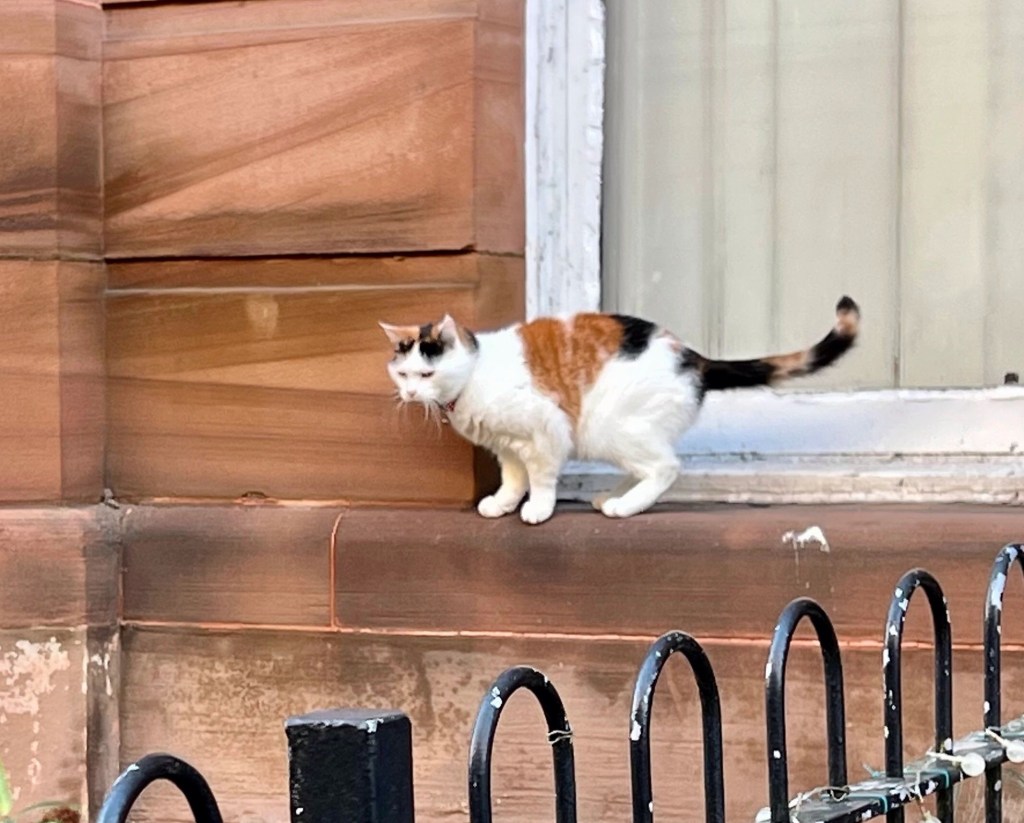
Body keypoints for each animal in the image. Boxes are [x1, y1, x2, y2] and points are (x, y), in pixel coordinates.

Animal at [380, 296, 859, 524]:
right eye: (402, 374)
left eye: (426, 373)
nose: (409, 395)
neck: (475, 373)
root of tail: (693, 357)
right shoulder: (508, 447)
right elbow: (514, 479)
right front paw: (502, 504)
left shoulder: (544, 431)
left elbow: (541, 478)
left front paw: (538, 509)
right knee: (648, 466)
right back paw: (615, 496)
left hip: (611, 427)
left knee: (666, 467)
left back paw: (625, 507)